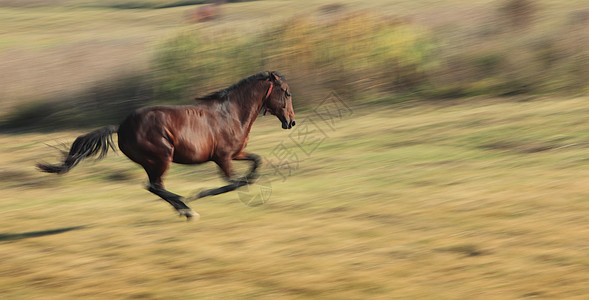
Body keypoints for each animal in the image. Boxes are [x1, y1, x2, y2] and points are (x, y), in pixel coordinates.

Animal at [36, 71, 294, 219]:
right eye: (287, 93)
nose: (291, 122)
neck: (230, 114)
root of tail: (121, 127)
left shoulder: (236, 153)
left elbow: (255, 165)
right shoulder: (222, 157)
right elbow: (234, 182)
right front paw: (198, 194)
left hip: (154, 161)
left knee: (153, 186)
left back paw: (182, 206)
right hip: (161, 157)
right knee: (154, 186)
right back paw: (186, 206)